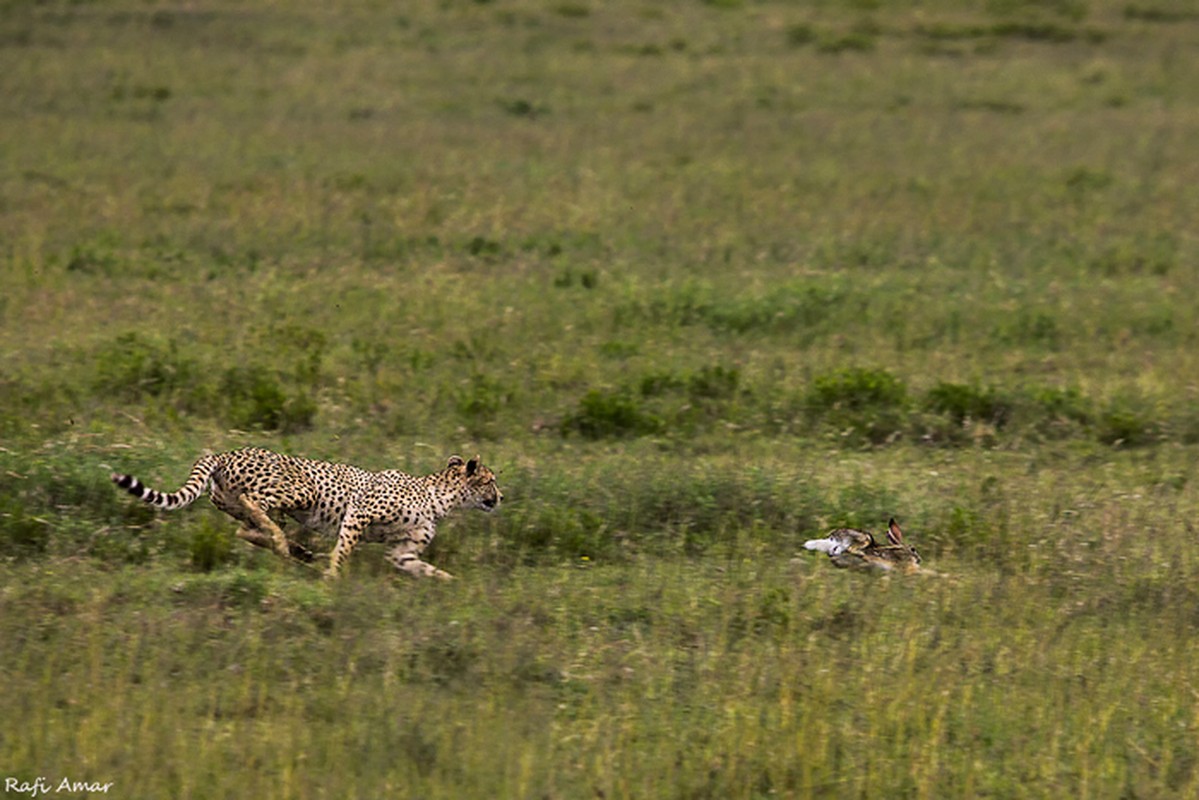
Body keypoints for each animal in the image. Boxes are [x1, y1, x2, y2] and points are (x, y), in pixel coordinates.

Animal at [112, 448, 501, 578]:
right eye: (490, 480)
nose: (501, 496)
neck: (439, 497)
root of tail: (226, 452)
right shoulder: (358, 513)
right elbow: (343, 551)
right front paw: (331, 578)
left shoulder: (401, 552)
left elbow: (424, 568)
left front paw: (450, 585)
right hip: (302, 490)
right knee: (256, 504)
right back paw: (285, 544)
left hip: (246, 505)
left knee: (244, 529)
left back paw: (291, 547)